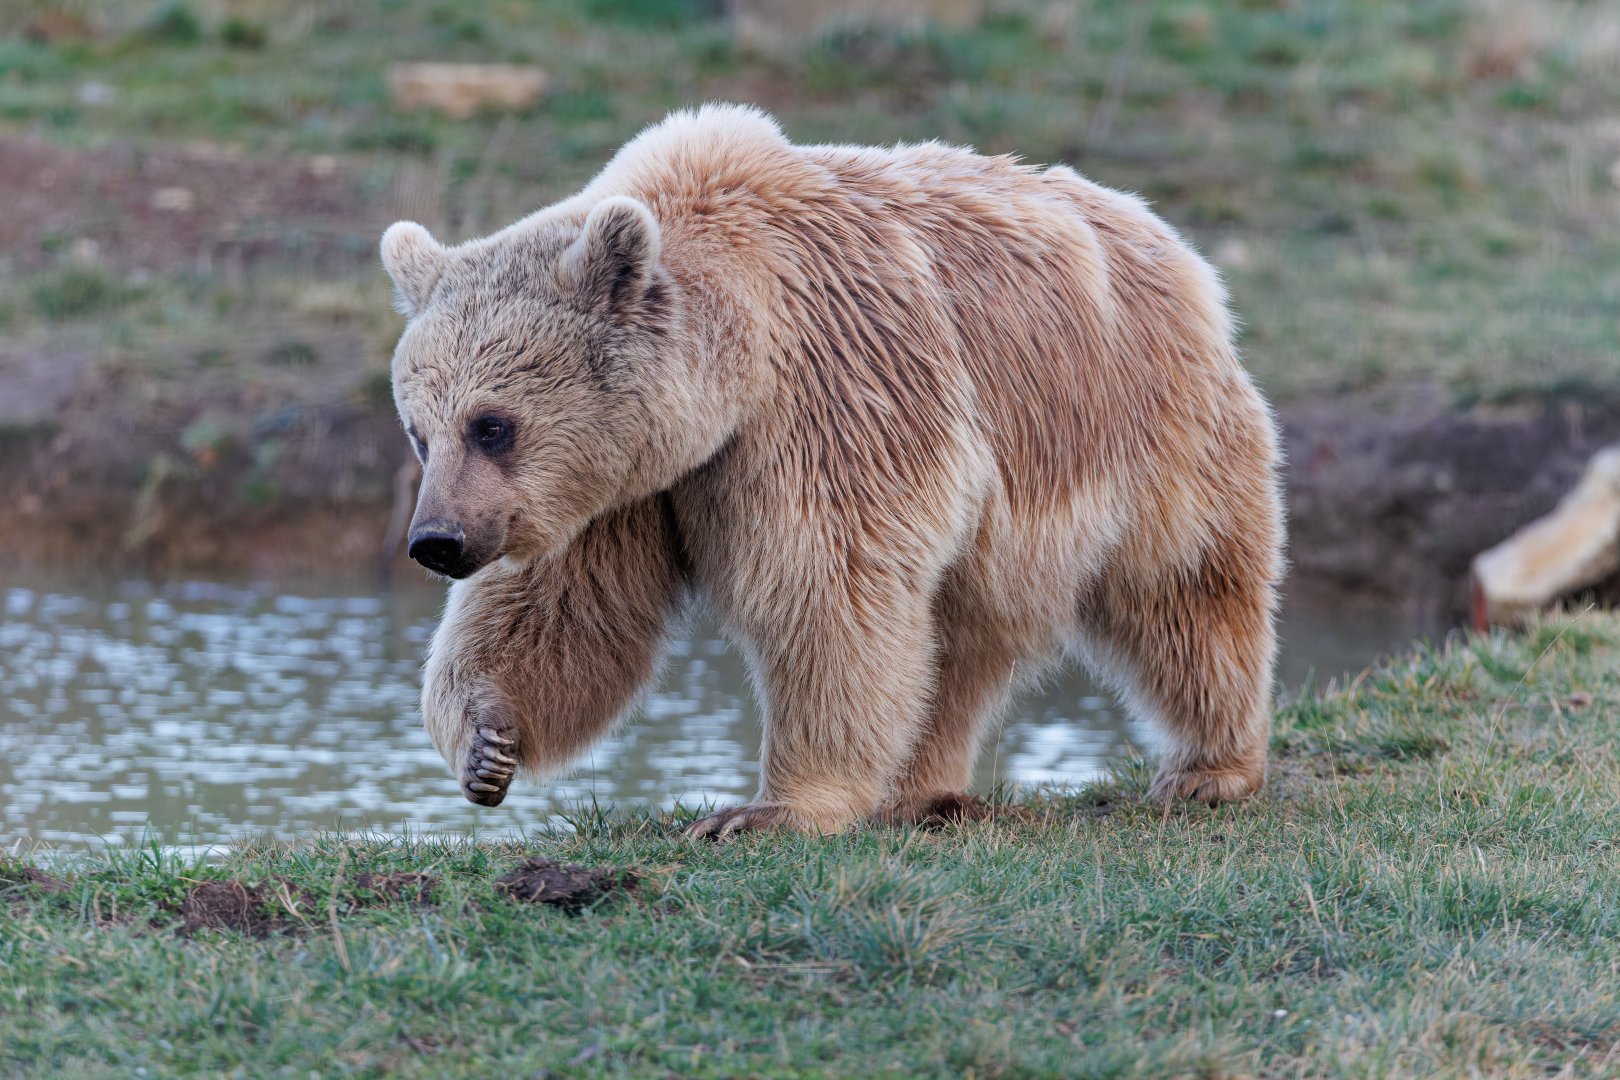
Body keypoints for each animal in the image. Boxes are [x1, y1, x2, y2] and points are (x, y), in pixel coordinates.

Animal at [380, 103, 1284, 837]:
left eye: (492, 424)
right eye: (421, 433)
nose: (437, 541)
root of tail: (1161, 233)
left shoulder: (830, 392)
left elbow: (827, 588)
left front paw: (768, 810)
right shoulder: (624, 482)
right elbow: (562, 608)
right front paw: (489, 741)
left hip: (1144, 427)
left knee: (1182, 588)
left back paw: (1208, 768)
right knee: (954, 640)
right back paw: (921, 790)